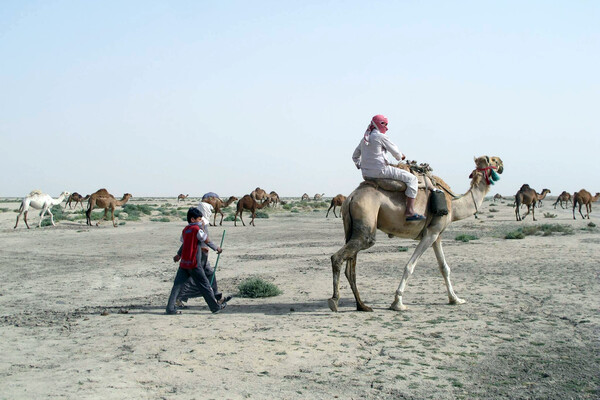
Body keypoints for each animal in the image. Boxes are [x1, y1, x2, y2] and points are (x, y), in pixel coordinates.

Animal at [330, 156, 504, 312]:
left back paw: (362, 306)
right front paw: (398, 303)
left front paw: (456, 299)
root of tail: (351, 197)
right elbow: (410, 266)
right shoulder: (431, 233)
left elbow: (444, 267)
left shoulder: (437, 234)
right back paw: (335, 301)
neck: (454, 206)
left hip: (351, 226)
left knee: (350, 266)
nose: (502, 165)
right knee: (340, 256)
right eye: (494, 160)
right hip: (366, 219)